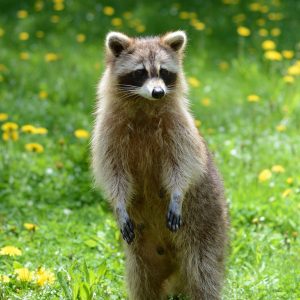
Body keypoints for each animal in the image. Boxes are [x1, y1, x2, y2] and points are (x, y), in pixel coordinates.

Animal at [91, 31, 227, 298]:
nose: (158, 92)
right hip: (142, 251)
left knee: (203, 271)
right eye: (140, 72)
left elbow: (183, 164)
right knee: (141, 278)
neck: (145, 105)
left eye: (163, 71)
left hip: (207, 226)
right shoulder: (108, 132)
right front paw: (119, 203)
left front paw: (177, 193)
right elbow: (113, 172)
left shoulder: (179, 128)